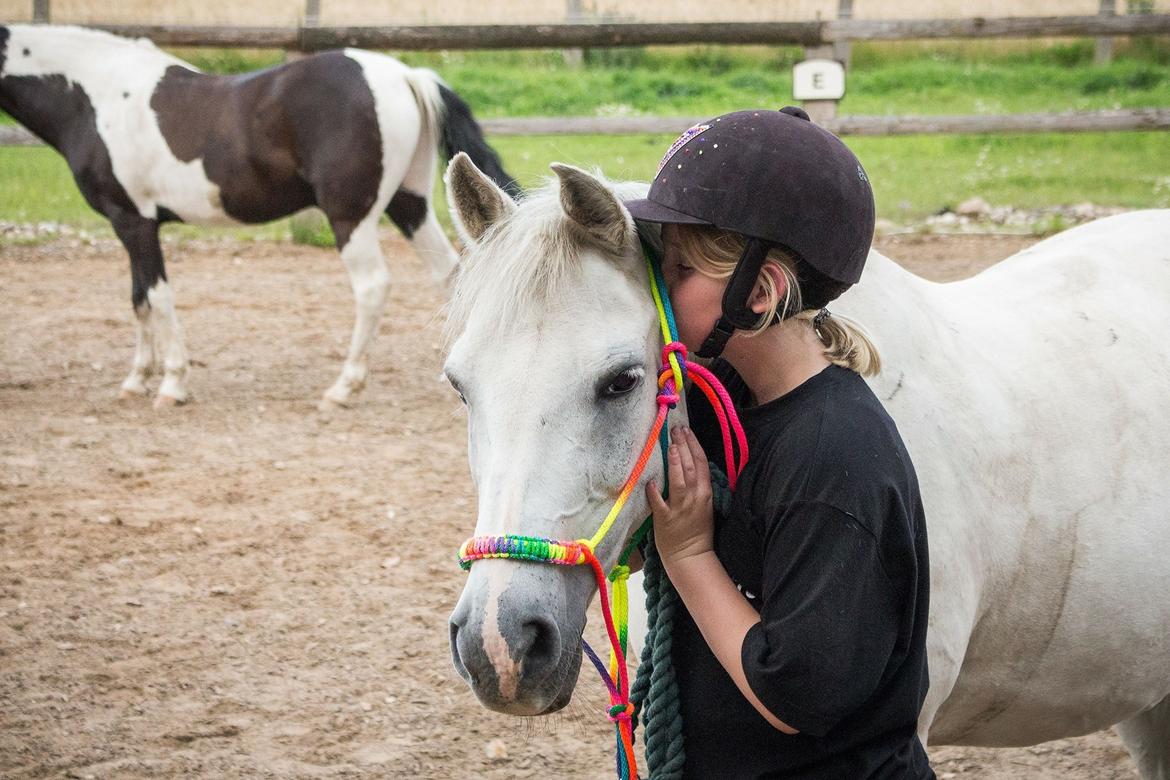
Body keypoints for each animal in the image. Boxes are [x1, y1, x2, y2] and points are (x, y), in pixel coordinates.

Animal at [0, 24, 514, 409]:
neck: (97, 95)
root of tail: (404, 74)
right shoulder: (123, 223)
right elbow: (138, 299)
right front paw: (135, 380)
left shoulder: (135, 221)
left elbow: (158, 298)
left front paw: (172, 383)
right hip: (409, 205)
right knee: (451, 274)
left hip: (351, 218)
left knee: (372, 288)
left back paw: (344, 387)